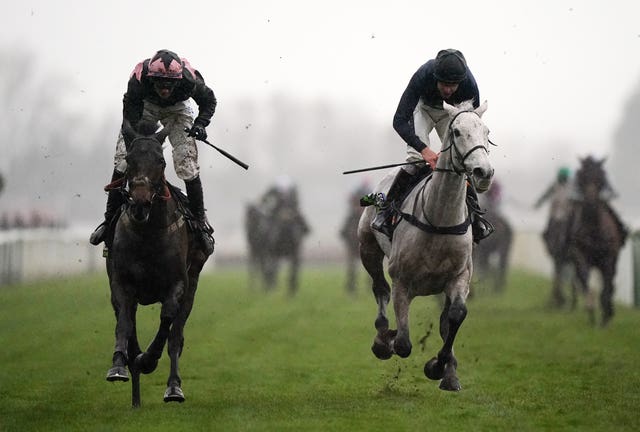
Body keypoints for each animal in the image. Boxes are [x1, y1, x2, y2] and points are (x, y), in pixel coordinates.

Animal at [104, 120, 210, 404]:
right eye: (130, 160)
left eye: (161, 162)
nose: (140, 204)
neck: (148, 233)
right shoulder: (121, 282)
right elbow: (124, 322)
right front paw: (119, 365)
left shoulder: (178, 285)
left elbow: (167, 322)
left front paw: (148, 360)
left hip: (193, 284)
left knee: (176, 335)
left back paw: (173, 387)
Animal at [358, 100, 492, 392]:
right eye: (456, 132)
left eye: (486, 132)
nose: (483, 173)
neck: (439, 219)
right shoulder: (402, 281)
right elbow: (403, 343)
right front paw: (391, 341)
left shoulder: (459, 276)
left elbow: (454, 316)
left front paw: (442, 369)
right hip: (367, 249)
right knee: (380, 289)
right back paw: (382, 338)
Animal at [568, 157, 628, 326]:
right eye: (582, 176)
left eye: (600, 177)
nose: (590, 202)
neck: (594, 229)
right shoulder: (580, 254)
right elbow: (585, 279)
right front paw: (591, 309)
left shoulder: (608, 258)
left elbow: (606, 288)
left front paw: (605, 318)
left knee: (610, 283)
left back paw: (609, 312)